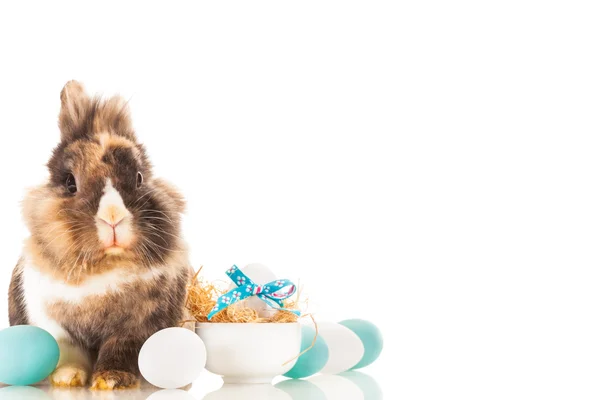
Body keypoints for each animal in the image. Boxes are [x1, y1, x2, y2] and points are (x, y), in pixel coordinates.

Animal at [8, 81, 192, 390]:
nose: (113, 218)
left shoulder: (137, 324)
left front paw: (111, 381)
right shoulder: (49, 318)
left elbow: (119, 349)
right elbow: (66, 351)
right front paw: (67, 379)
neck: (104, 267)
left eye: (139, 178)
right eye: (70, 182)